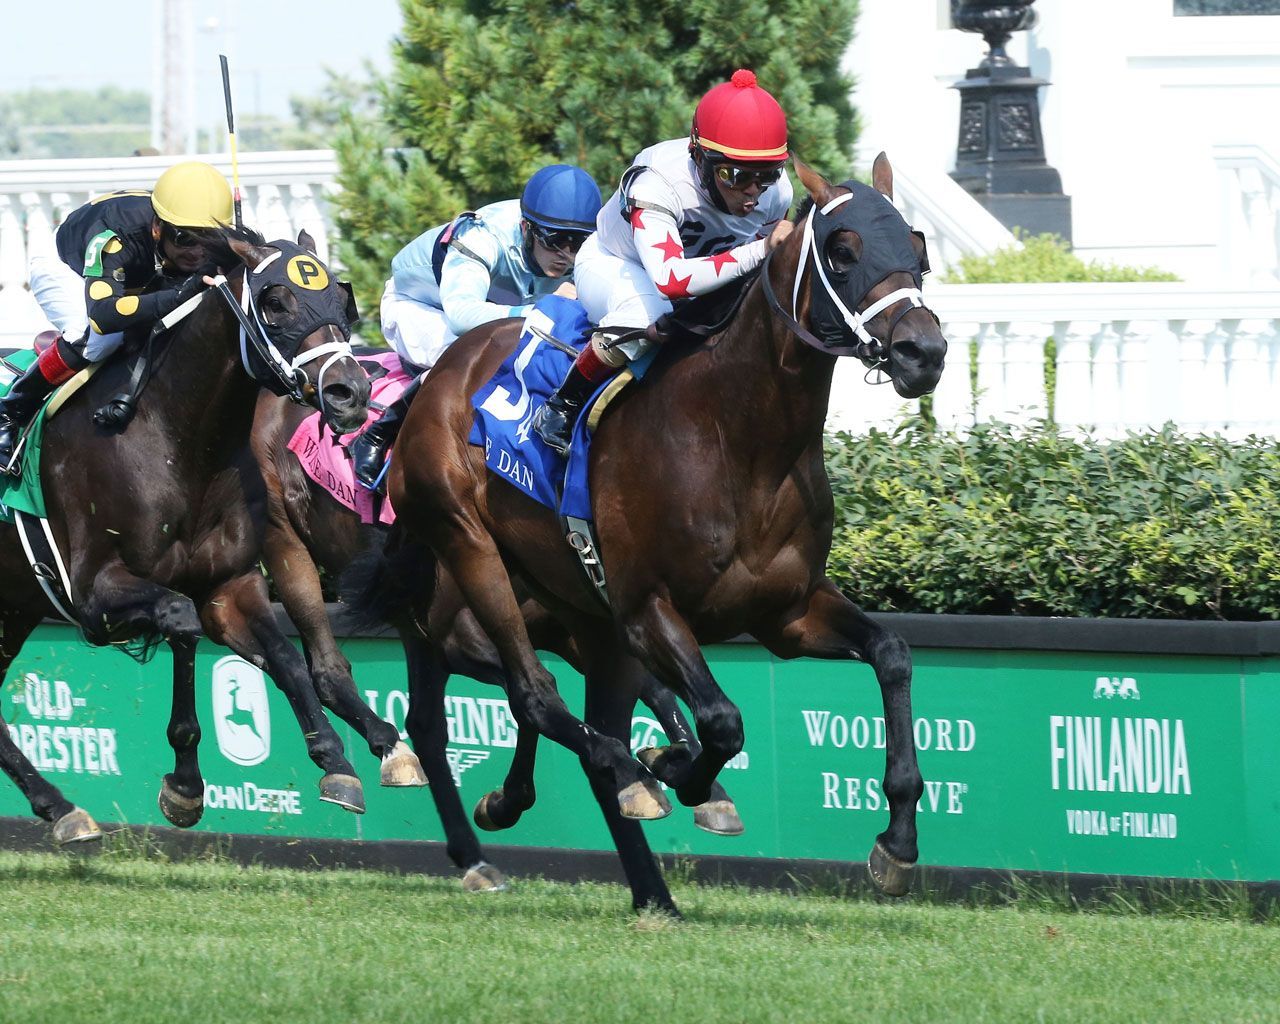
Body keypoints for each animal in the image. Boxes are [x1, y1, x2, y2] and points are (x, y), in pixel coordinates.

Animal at [0, 226, 412, 843]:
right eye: (275, 302)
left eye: (343, 301)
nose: (351, 393)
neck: (177, 437)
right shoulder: (94, 593)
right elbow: (181, 622)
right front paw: (185, 786)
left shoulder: (229, 584)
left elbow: (284, 657)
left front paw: (339, 763)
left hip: (11, 609)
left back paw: (60, 807)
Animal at [251, 380, 744, 891]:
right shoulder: (465, 633)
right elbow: (532, 698)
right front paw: (512, 799)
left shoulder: (570, 622)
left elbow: (643, 689)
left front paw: (694, 777)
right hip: (290, 541)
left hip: (416, 624)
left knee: (425, 723)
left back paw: (466, 848)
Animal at [369, 155, 948, 914]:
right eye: (844, 251)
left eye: (918, 249)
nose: (923, 352)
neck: (739, 438)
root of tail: (440, 372)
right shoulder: (647, 609)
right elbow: (723, 721)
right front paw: (677, 768)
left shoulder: (786, 612)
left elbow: (893, 654)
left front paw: (898, 842)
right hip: (471, 550)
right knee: (536, 696)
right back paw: (614, 783)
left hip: (581, 613)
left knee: (567, 714)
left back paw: (647, 889)